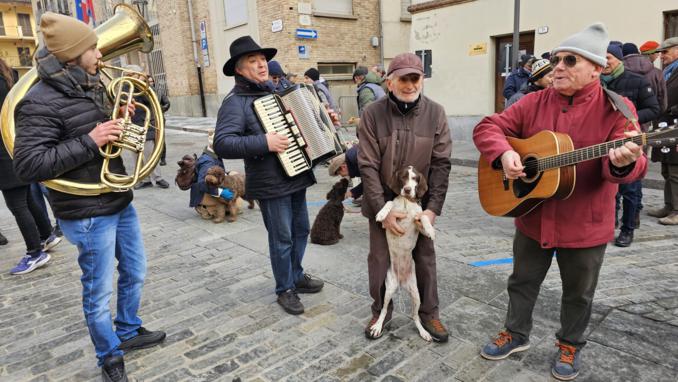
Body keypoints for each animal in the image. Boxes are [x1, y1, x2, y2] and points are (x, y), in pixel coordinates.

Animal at [372, 166, 436, 342]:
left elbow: (423, 216)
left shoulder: (418, 222)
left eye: (415, 178)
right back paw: (377, 326)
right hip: (388, 289)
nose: (407, 190)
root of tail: (401, 281)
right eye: (402, 177)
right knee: (384, 310)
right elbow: (388, 202)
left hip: (416, 294)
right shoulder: (388, 223)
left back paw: (424, 332)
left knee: (415, 316)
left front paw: (431, 230)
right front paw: (381, 213)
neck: (407, 202)